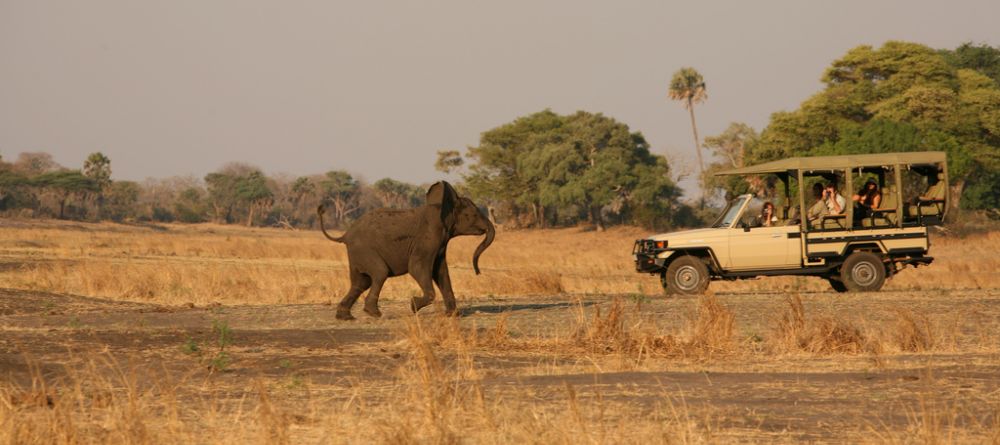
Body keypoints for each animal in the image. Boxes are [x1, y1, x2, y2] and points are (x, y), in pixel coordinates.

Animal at [317, 181, 495, 320]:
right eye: (473, 215)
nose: (478, 272)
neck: (445, 207)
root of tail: (345, 235)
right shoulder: (429, 236)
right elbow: (417, 267)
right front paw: (413, 306)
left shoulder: (441, 242)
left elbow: (441, 272)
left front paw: (453, 315)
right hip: (365, 250)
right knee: (379, 273)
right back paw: (375, 314)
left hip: (357, 254)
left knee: (360, 282)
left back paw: (345, 317)